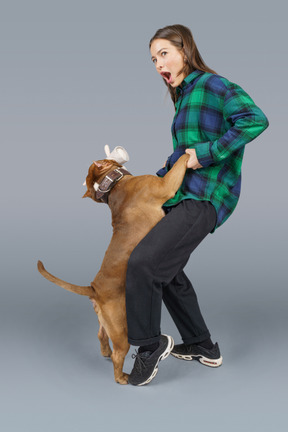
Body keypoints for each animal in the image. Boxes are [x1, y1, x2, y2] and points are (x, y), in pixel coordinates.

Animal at [37, 153, 189, 384]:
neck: (113, 184)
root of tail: (94, 289)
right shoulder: (166, 185)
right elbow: (181, 162)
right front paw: (189, 153)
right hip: (121, 329)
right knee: (119, 354)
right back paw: (123, 377)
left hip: (106, 320)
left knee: (101, 335)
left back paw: (106, 352)